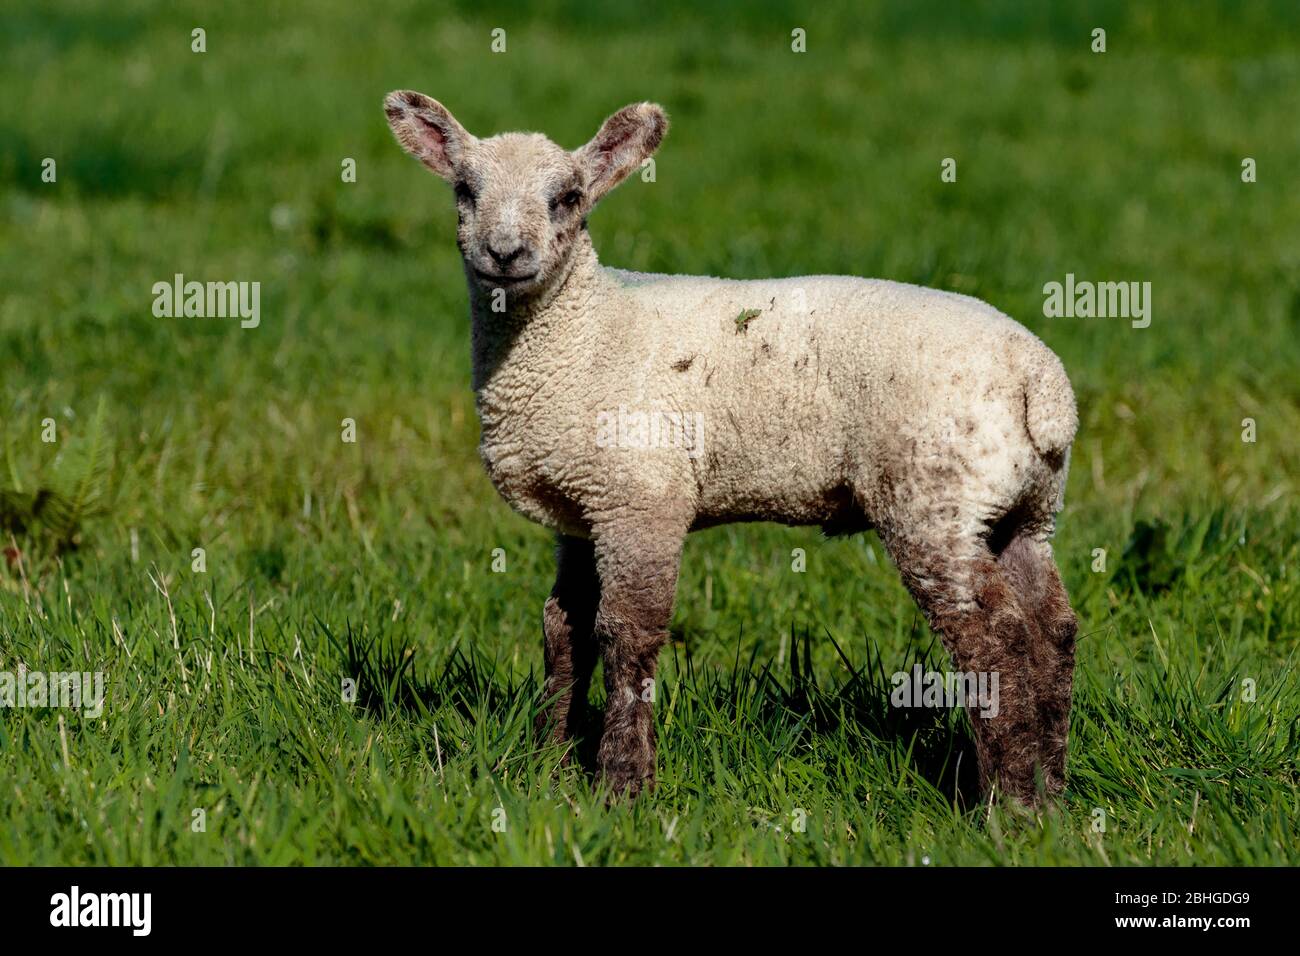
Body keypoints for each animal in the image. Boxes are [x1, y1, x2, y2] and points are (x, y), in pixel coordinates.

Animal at [383, 91, 1080, 804]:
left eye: (569, 197)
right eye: (465, 190)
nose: (505, 252)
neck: (585, 333)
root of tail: (1041, 381)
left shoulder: (641, 500)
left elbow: (627, 633)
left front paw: (624, 784)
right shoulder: (581, 509)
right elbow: (563, 630)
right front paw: (549, 766)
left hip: (935, 498)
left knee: (993, 636)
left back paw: (1008, 803)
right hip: (1022, 506)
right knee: (1051, 628)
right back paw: (1050, 788)